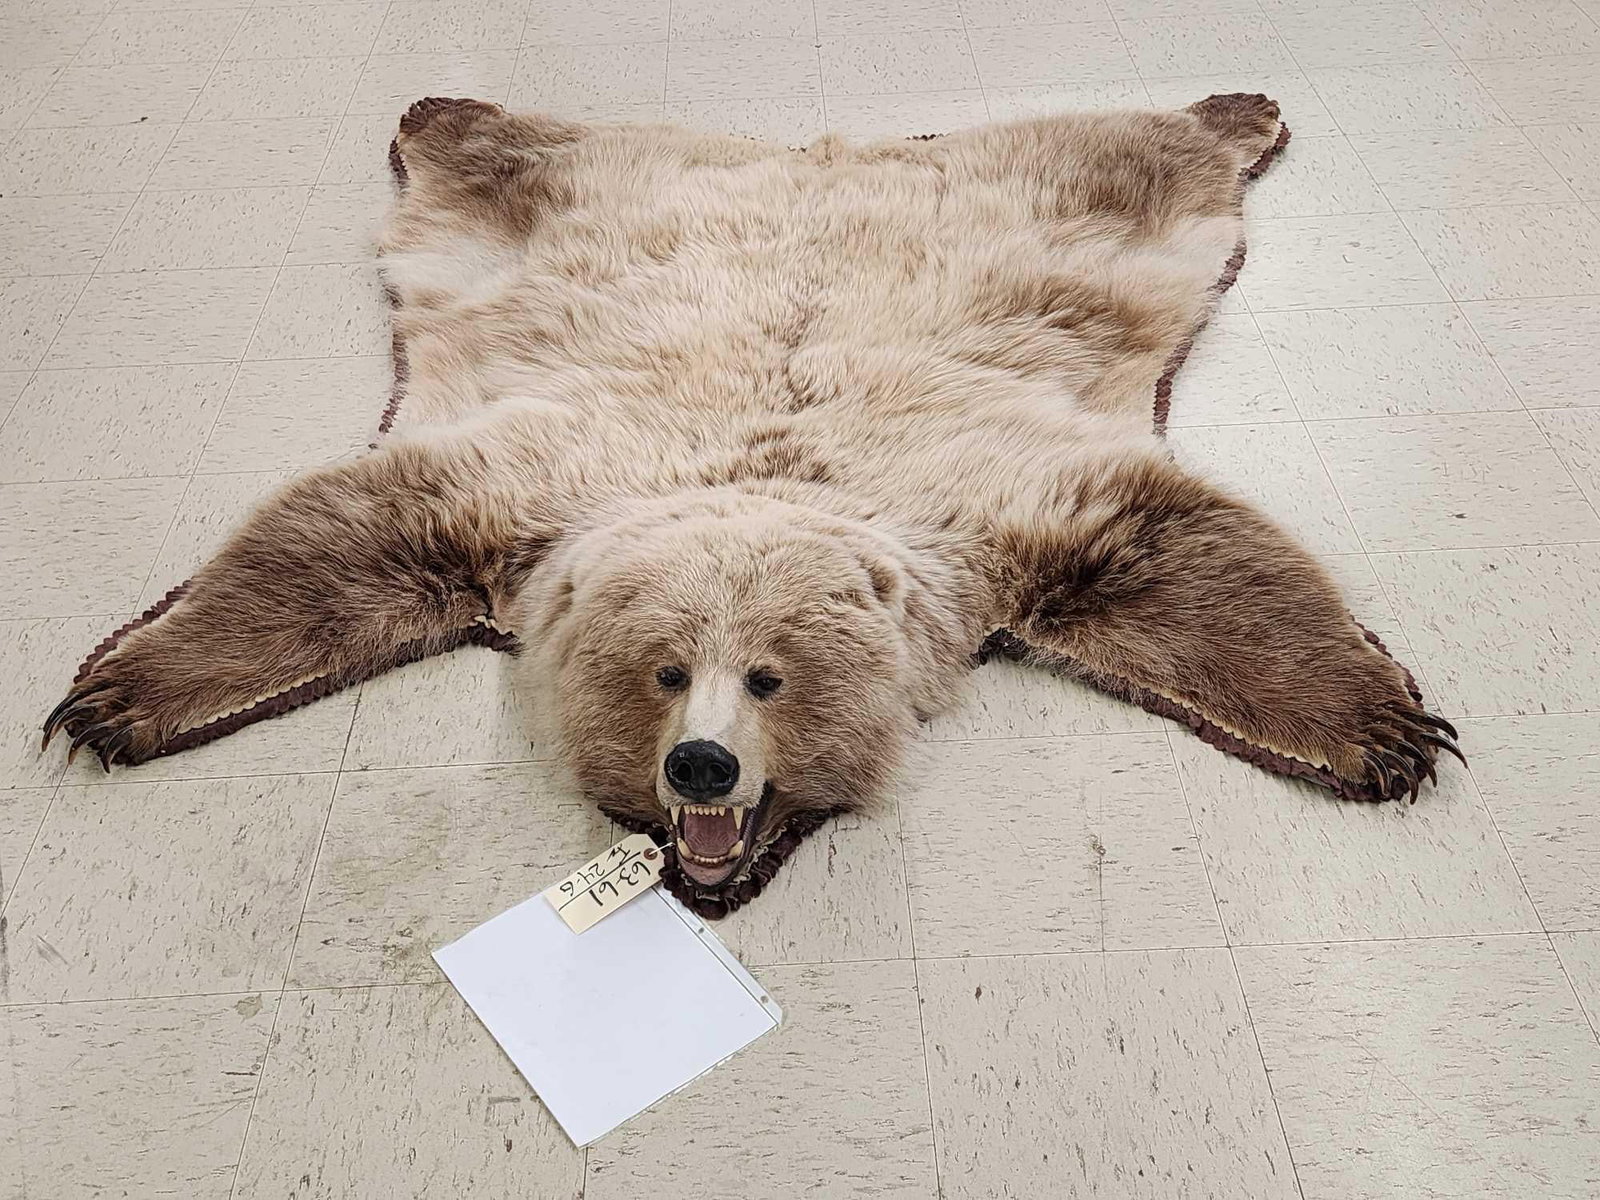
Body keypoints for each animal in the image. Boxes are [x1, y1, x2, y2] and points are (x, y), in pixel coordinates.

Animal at [43, 94, 1461, 916]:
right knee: (496, 146)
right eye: (664, 674)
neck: (761, 477)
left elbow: (1196, 557)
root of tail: (814, 150)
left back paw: (1242, 106)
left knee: (1146, 148)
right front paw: (122, 690)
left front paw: (1382, 726)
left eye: (772, 680)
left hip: (1069, 195)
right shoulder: (525, 486)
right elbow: (331, 535)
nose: (702, 769)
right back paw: (440, 101)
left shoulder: (1002, 502)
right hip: (569, 186)